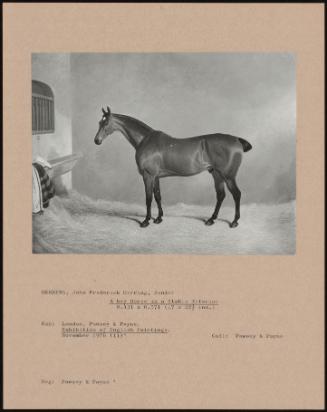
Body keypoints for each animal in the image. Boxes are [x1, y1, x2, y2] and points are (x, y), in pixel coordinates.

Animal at [95, 106, 254, 229]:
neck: (145, 140)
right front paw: (158, 218)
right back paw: (211, 219)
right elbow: (158, 196)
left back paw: (234, 222)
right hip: (216, 174)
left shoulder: (148, 175)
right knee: (221, 195)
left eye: (106, 122)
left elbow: (148, 198)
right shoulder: (156, 176)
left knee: (236, 194)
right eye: (99, 122)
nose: (97, 140)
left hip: (228, 176)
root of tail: (236, 140)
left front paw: (146, 221)